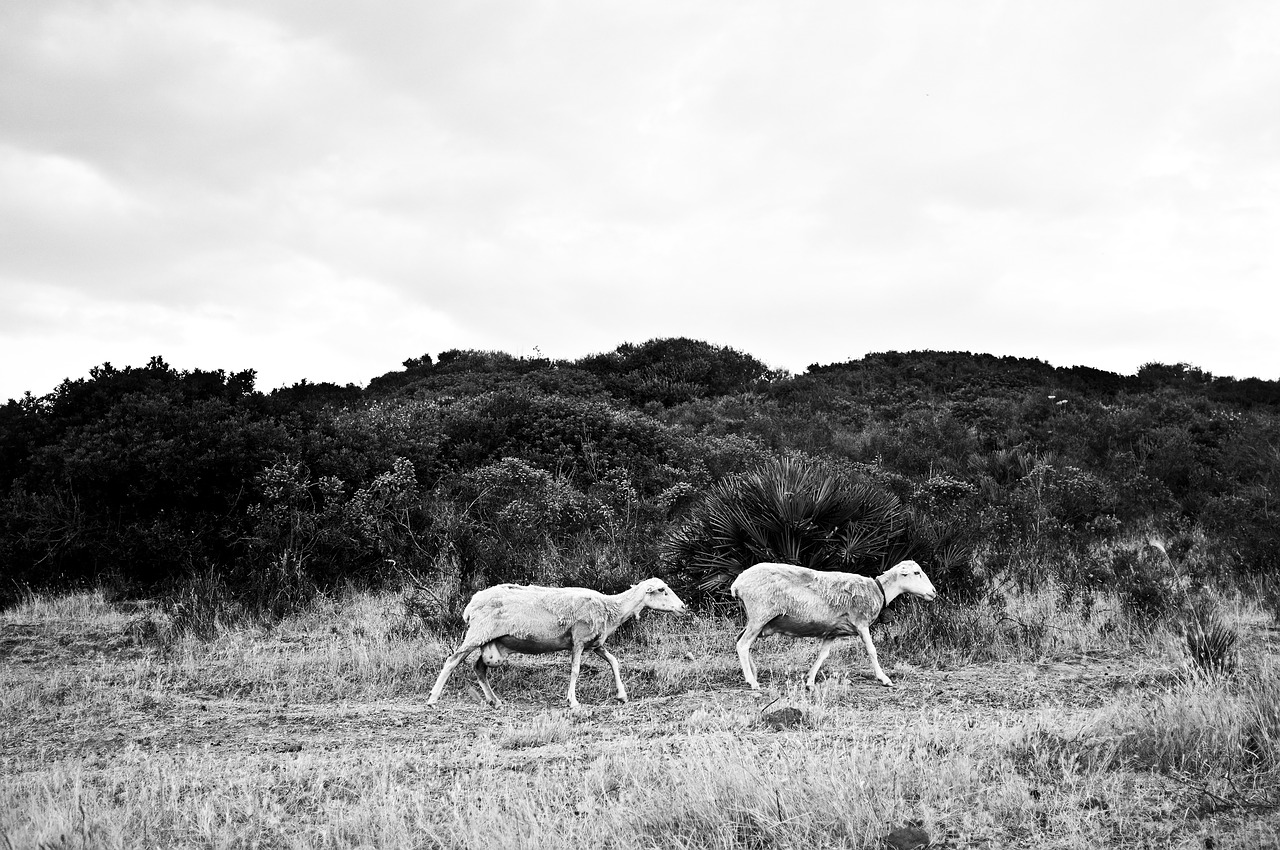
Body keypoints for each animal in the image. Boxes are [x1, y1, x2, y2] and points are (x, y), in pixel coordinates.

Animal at [427, 578, 691, 711]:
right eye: (662, 590)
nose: (683, 607)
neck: (610, 608)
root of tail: (471, 603)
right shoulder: (579, 640)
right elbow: (575, 670)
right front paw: (572, 701)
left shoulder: (595, 643)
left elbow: (615, 662)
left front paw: (622, 695)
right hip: (477, 633)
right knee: (452, 660)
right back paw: (432, 698)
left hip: (492, 643)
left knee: (479, 668)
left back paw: (495, 701)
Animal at [737, 558, 936, 691]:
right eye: (917, 573)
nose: (934, 592)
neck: (878, 590)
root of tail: (737, 583)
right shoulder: (862, 624)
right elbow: (872, 651)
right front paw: (884, 678)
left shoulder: (832, 631)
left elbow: (822, 655)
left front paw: (810, 681)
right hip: (760, 615)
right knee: (742, 644)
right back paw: (752, 682)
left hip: (758, 621)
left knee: (742, 641)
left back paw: (753, 673)